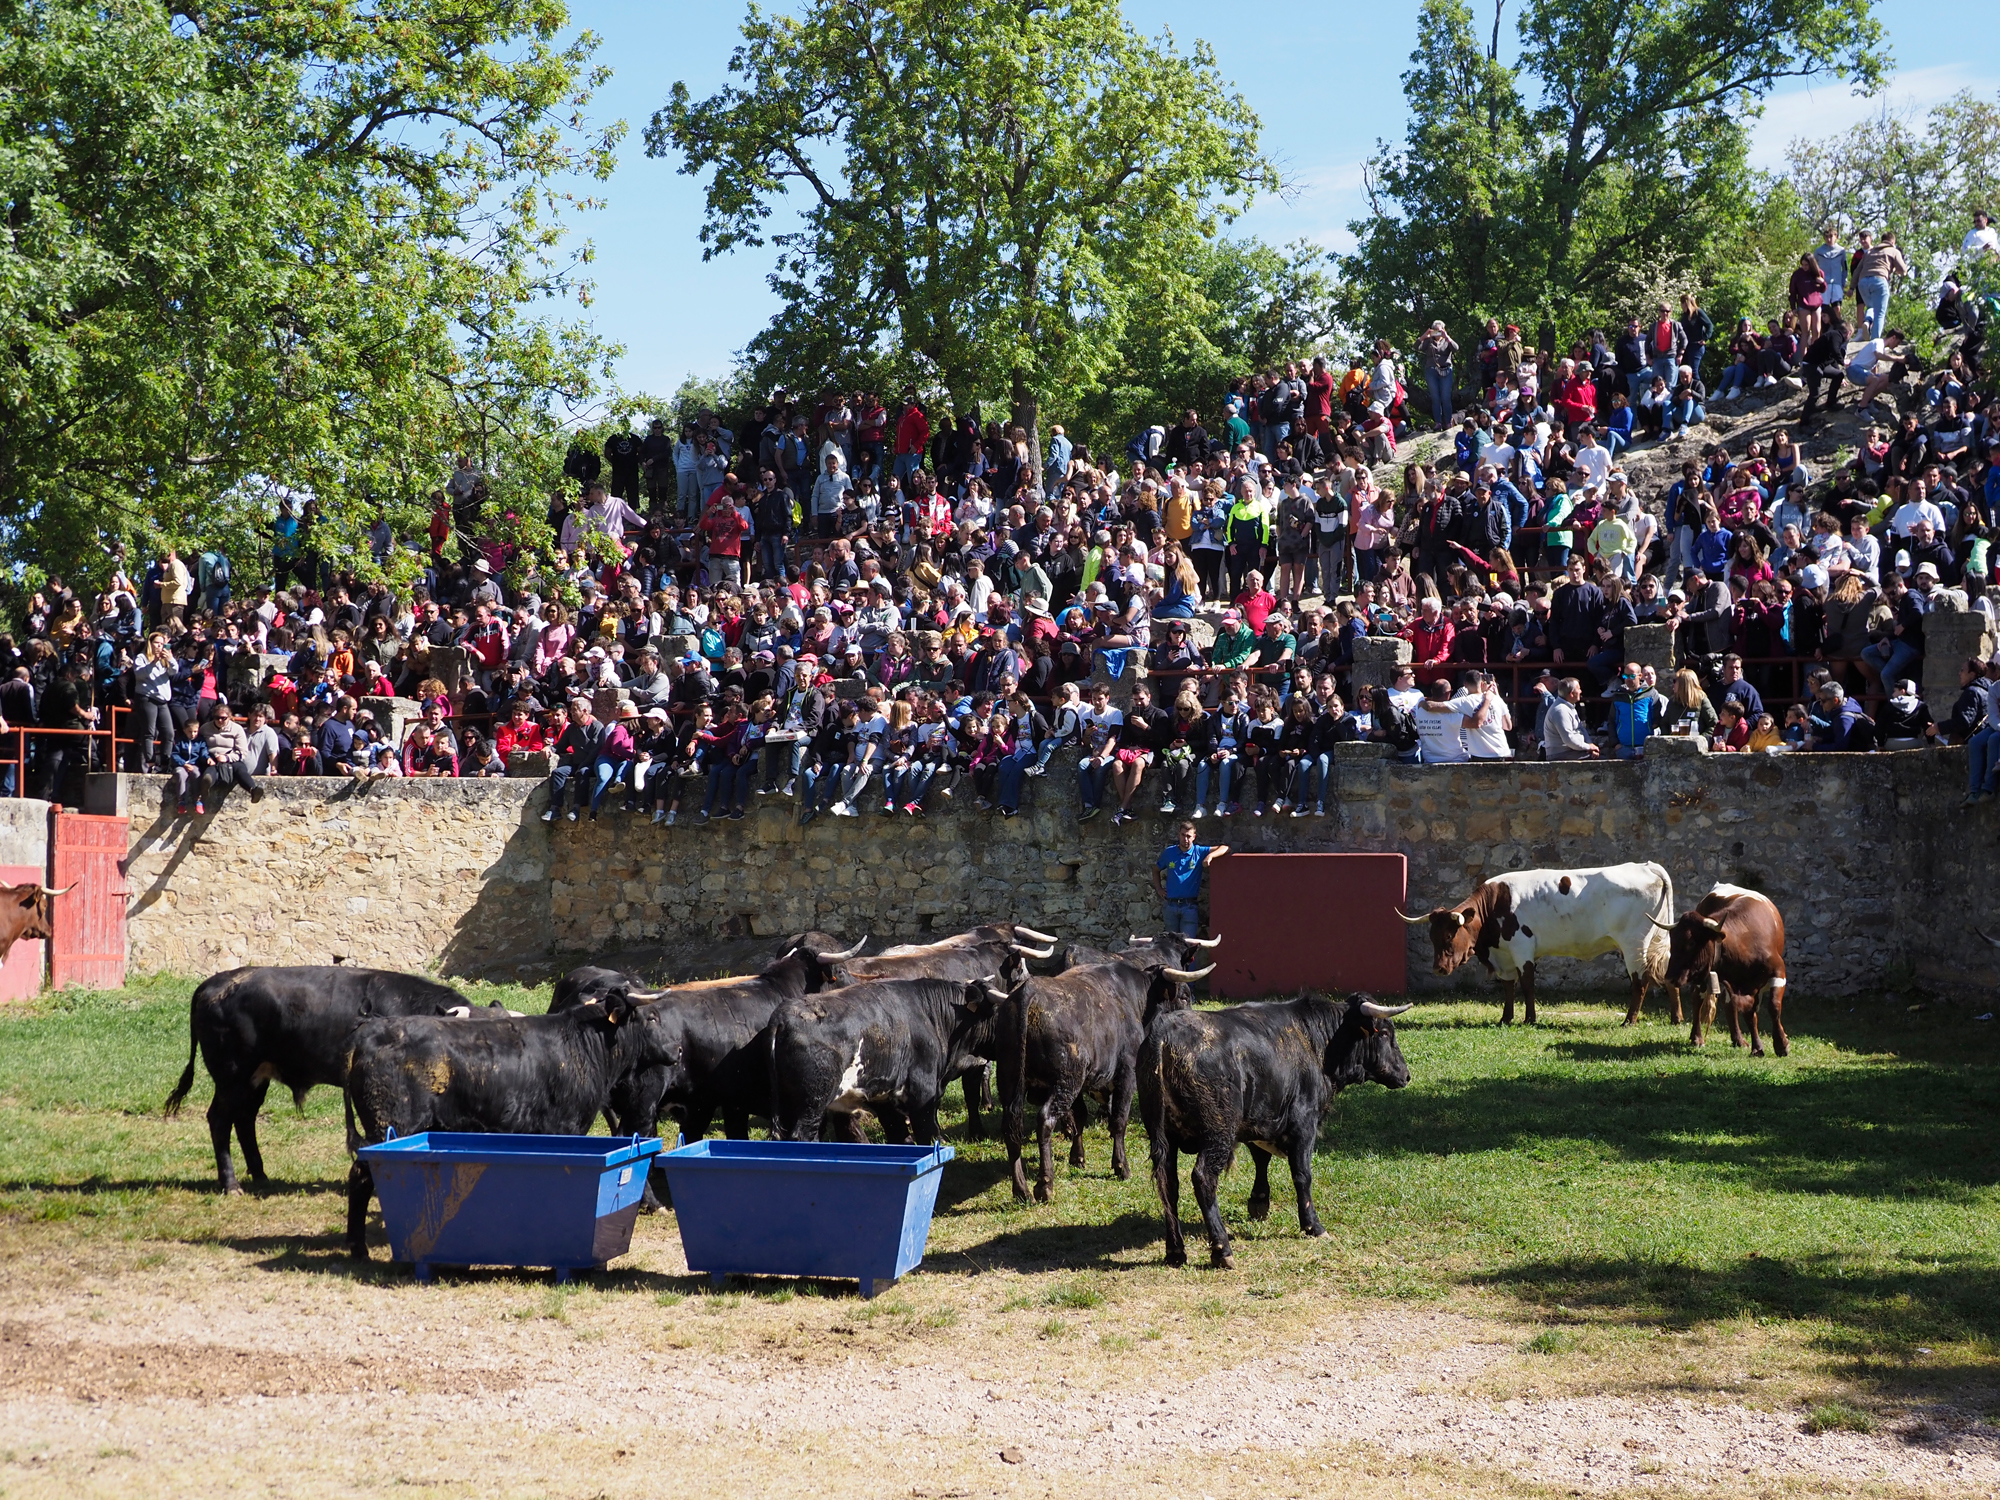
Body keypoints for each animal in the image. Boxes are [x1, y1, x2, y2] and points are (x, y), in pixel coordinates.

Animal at [1664, 880, 1792, 1056]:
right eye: (1672, 941)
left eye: (1691, 942)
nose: (1669, 977)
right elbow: (1750, 1015)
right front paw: (1763, 1047)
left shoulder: (1778, 973)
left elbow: (1772, 1007)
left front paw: (1778, 1044)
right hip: (1703, 976)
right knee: (1698, 999)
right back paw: (1697, 1037)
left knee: (1728, 1005)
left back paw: (1738, 1040)